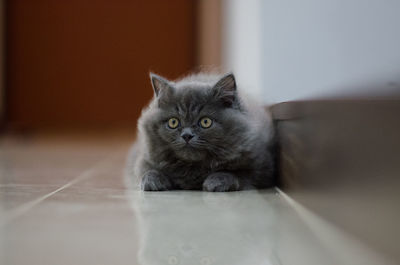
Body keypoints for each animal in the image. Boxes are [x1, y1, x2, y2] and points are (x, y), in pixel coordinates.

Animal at [128, 71, 276, 192]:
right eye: (173, 122)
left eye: (205, 122)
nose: (187, 135)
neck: (192, 167)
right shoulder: (144, 159)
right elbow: (148, 170)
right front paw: (153, 181)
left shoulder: (262, 167)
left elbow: (238, 173)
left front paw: (216, 181)